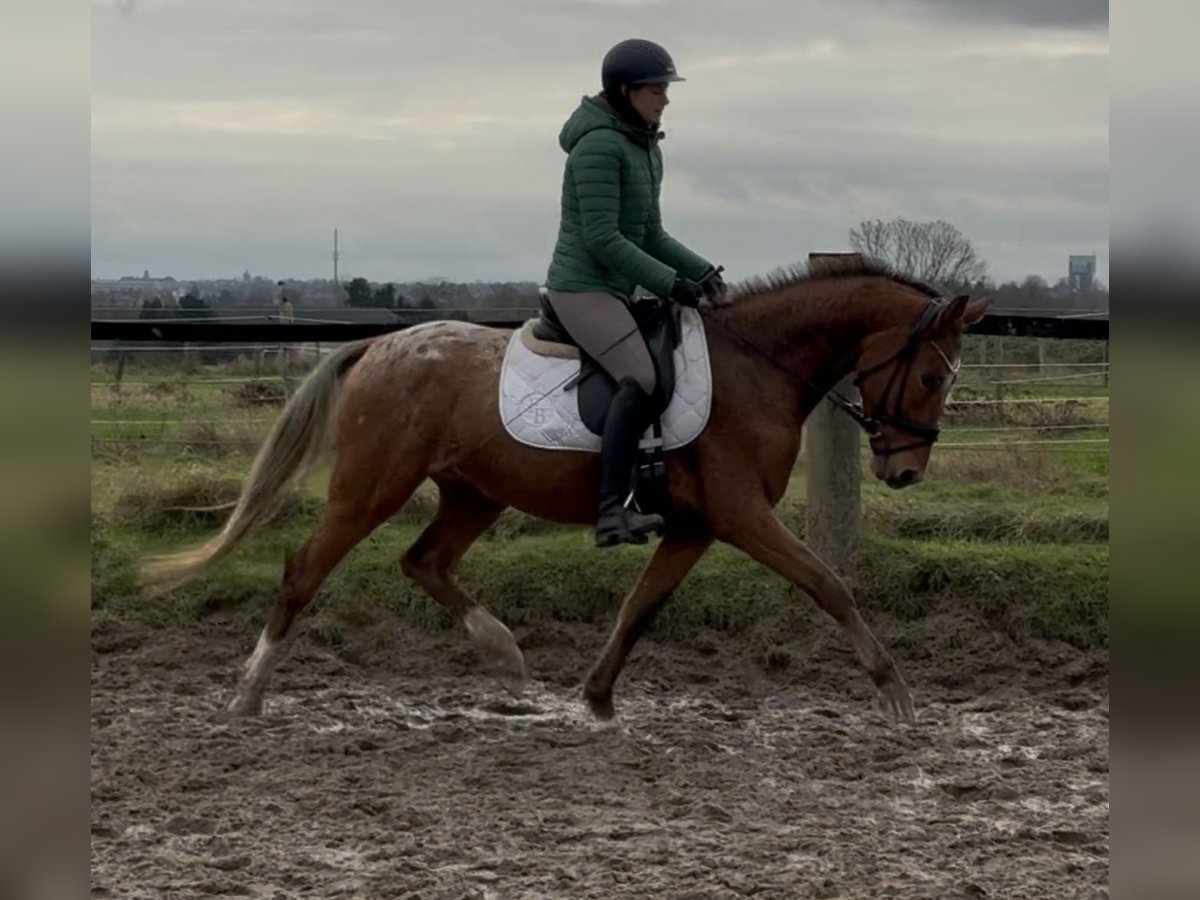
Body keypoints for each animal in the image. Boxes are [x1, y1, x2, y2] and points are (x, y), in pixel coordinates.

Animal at [143, 257, 989, 723]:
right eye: (928, 376)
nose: (905, 470)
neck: (759, 368)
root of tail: (380, 345)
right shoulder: (742, 514)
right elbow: (827, 584)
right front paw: (893, 689)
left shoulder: (695, 526)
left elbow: (639, 607)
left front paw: (598, 696)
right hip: (371, 488)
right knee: (304, 572)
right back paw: (249, 693)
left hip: (474, 492)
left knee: (425, 563)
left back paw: (504, 653)